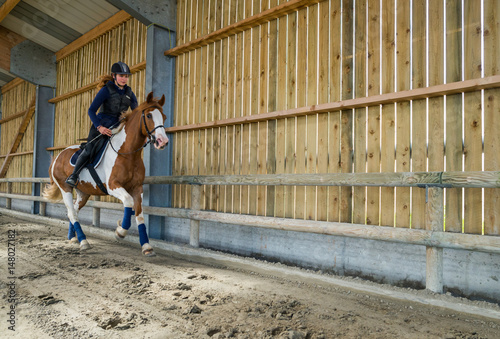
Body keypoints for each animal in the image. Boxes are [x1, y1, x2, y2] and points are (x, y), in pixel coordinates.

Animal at [43, 91, 168, 256]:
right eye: (148, 116)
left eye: (164, 117)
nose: (162, 141)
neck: (127, 153)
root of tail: (58, 155)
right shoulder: (113, 186)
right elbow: (128, 201)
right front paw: (120, 230)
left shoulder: (137, 188)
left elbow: (139, 214)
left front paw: (147, 246)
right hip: (66, 188)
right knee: (71, 212)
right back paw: (84, 241)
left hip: (83, 192)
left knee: (74, 210)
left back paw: (73, 238)